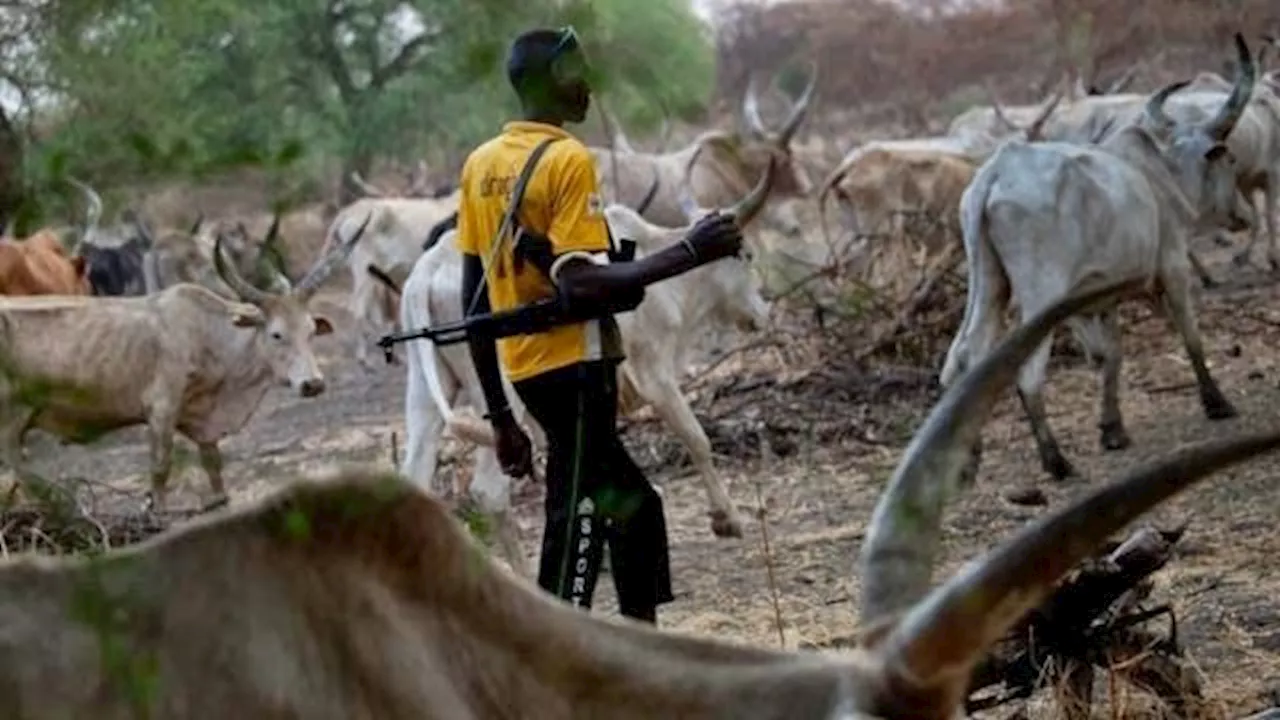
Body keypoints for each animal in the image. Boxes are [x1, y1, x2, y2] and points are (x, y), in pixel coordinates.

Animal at [936, 33, 1254, 481]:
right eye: (1230, 159)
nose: (1241, 215)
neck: (1160, 175)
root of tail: (996, 172)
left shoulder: (1101, 299)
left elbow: (1111, 356)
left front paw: (1113, 429)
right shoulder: (1172, 266)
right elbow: (1190, 335)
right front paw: (1217, 402)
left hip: (990, 285)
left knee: (964, 356)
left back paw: (965, 462)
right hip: (1041, 295)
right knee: (1027, 373)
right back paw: (1055, 460)